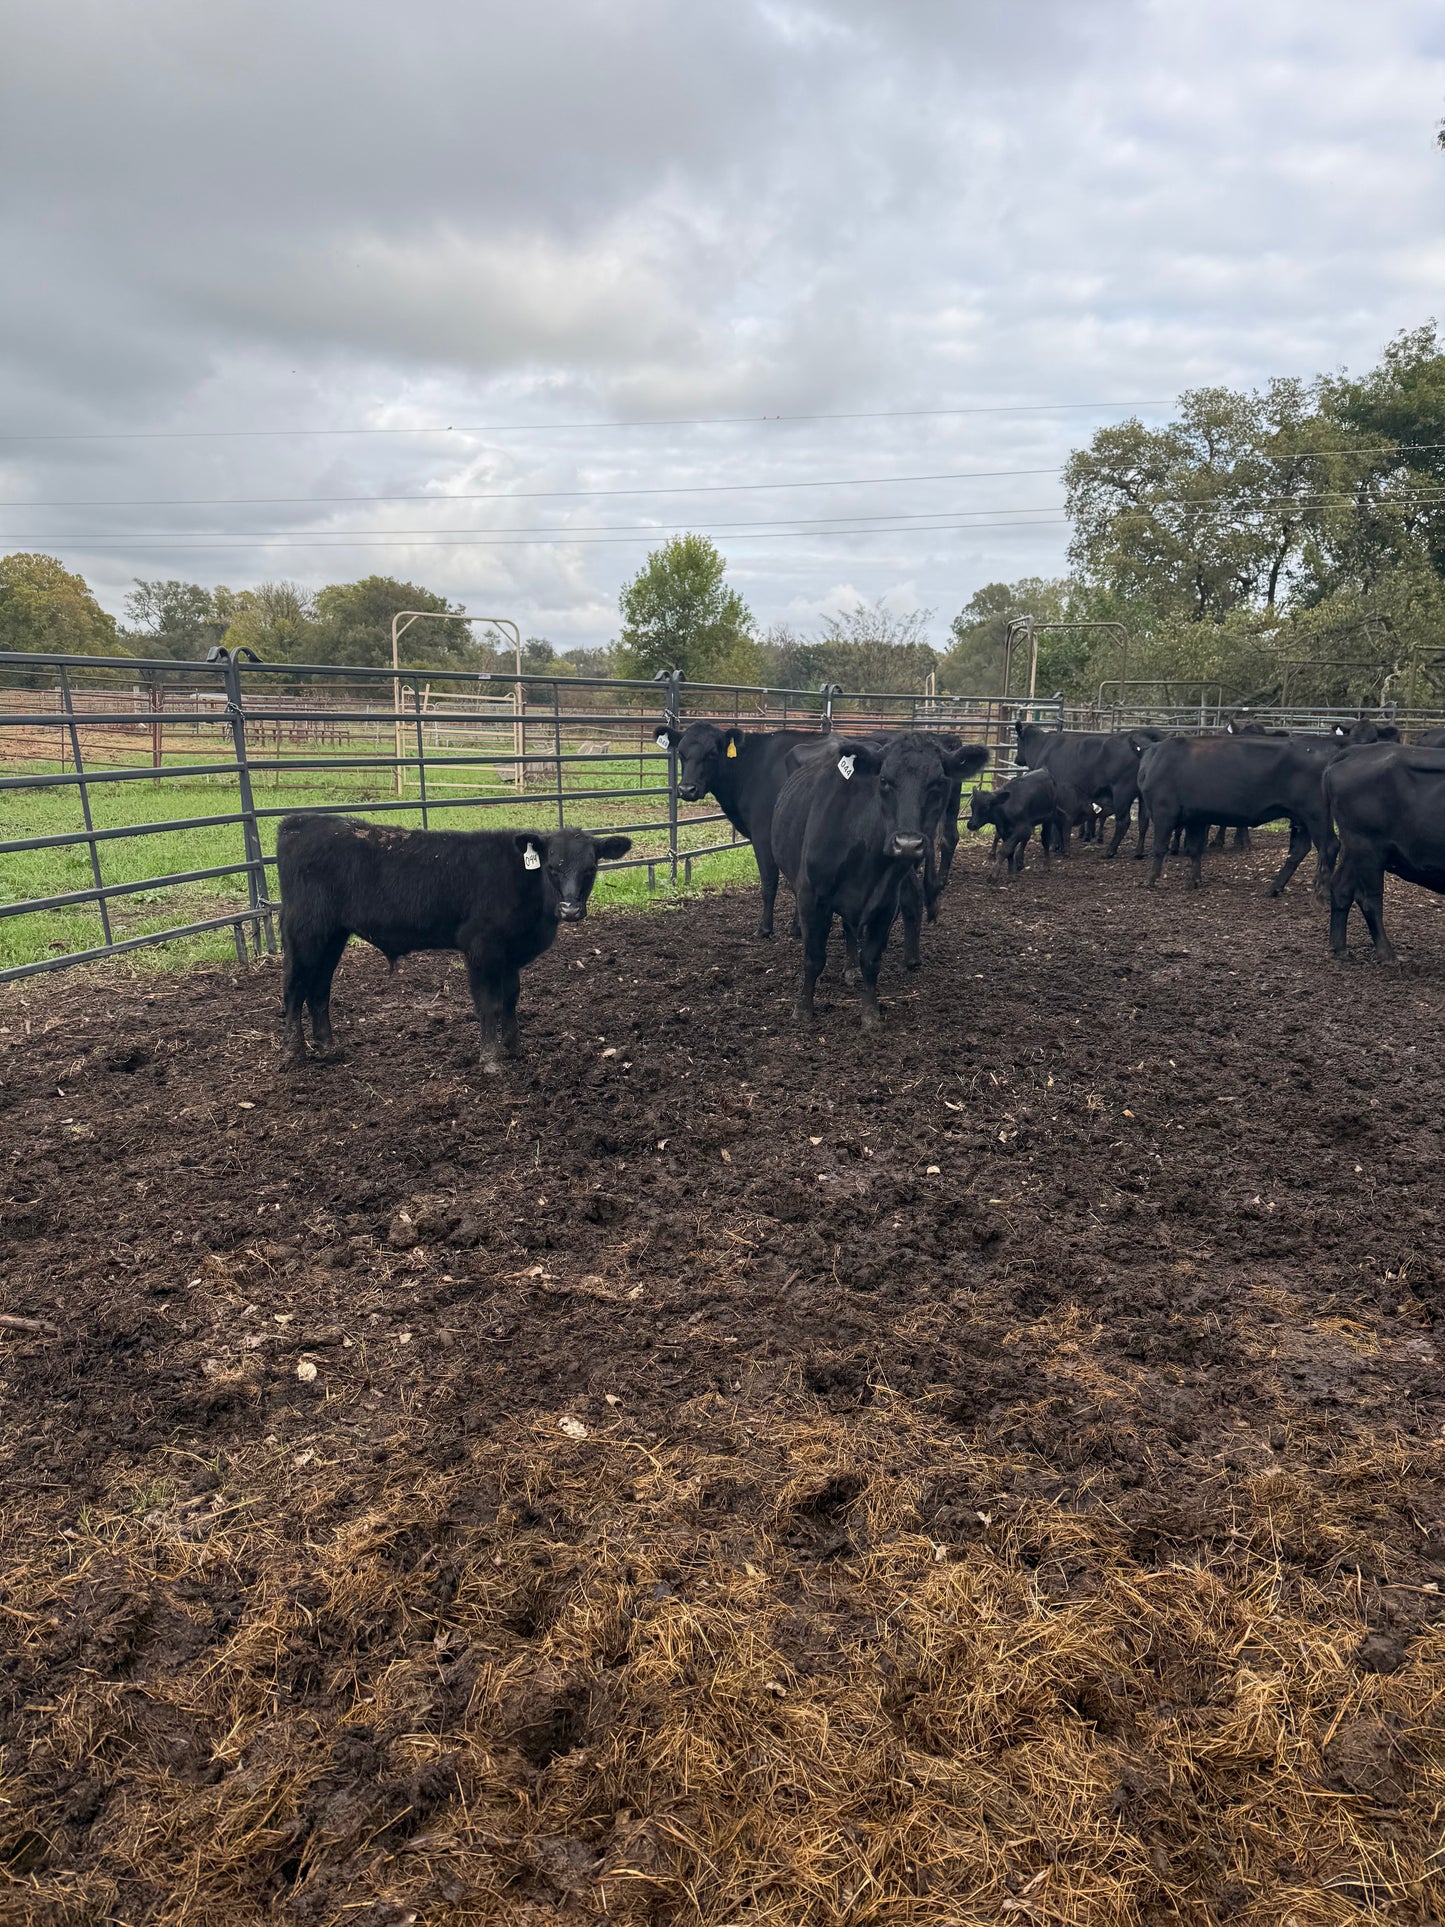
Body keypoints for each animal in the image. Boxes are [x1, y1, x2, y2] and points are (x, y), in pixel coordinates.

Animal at [276, 815, 631, 1069]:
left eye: (590, 868)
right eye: (553, 867)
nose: (570, 909)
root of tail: (301, 822)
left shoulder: (509, 954)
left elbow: (511, 998)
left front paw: (515, 1048)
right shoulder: (481, 947)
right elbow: (488, 1003)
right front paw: (491, 1060)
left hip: (332, 935)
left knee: (319, 988)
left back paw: (328, 1048)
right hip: (305, 930)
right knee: (294, 987)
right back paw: (295, 1053)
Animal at [772, 733, 988, 1027]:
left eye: (939, 782)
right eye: (884, 780)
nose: (907, 844)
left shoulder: (885, 903)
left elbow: (871, 959)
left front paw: (870, 1013)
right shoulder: (811, 896)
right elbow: (814, 957)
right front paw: (803, 1009)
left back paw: (854, 968)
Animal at [1135, 732, 1343, 894]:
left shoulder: (1163, 811)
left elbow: (1159, 847)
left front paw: (1150, 881)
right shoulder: (1196, 818)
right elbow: (1194, 849)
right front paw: (1193, 881)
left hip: (1316, 814)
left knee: (1329, 846)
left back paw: (1322, 891)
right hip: (1302, 818)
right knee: (1300, 850)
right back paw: (1274, 888)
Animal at [1324, 744, 1445, 960]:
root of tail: (1357, 751)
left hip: (1354, 849)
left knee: (1341, 888)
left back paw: (1339, 949)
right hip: (1368, 847)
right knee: (1370, 899)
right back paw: (1387, 954)